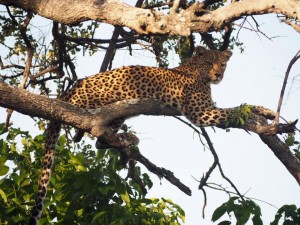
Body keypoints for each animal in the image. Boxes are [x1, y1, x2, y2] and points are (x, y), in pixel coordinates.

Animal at [27, 46, 274, 224]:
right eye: (208, 63)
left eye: (222, 63)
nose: (219, 74)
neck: (197, 71)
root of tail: (68, 92)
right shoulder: (201, 112)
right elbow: (235, 109)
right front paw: (252, 113)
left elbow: (244, 105)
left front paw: (266, 111)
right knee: (94, 130)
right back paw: (128, 138)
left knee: (99, 140)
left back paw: (127, 141)